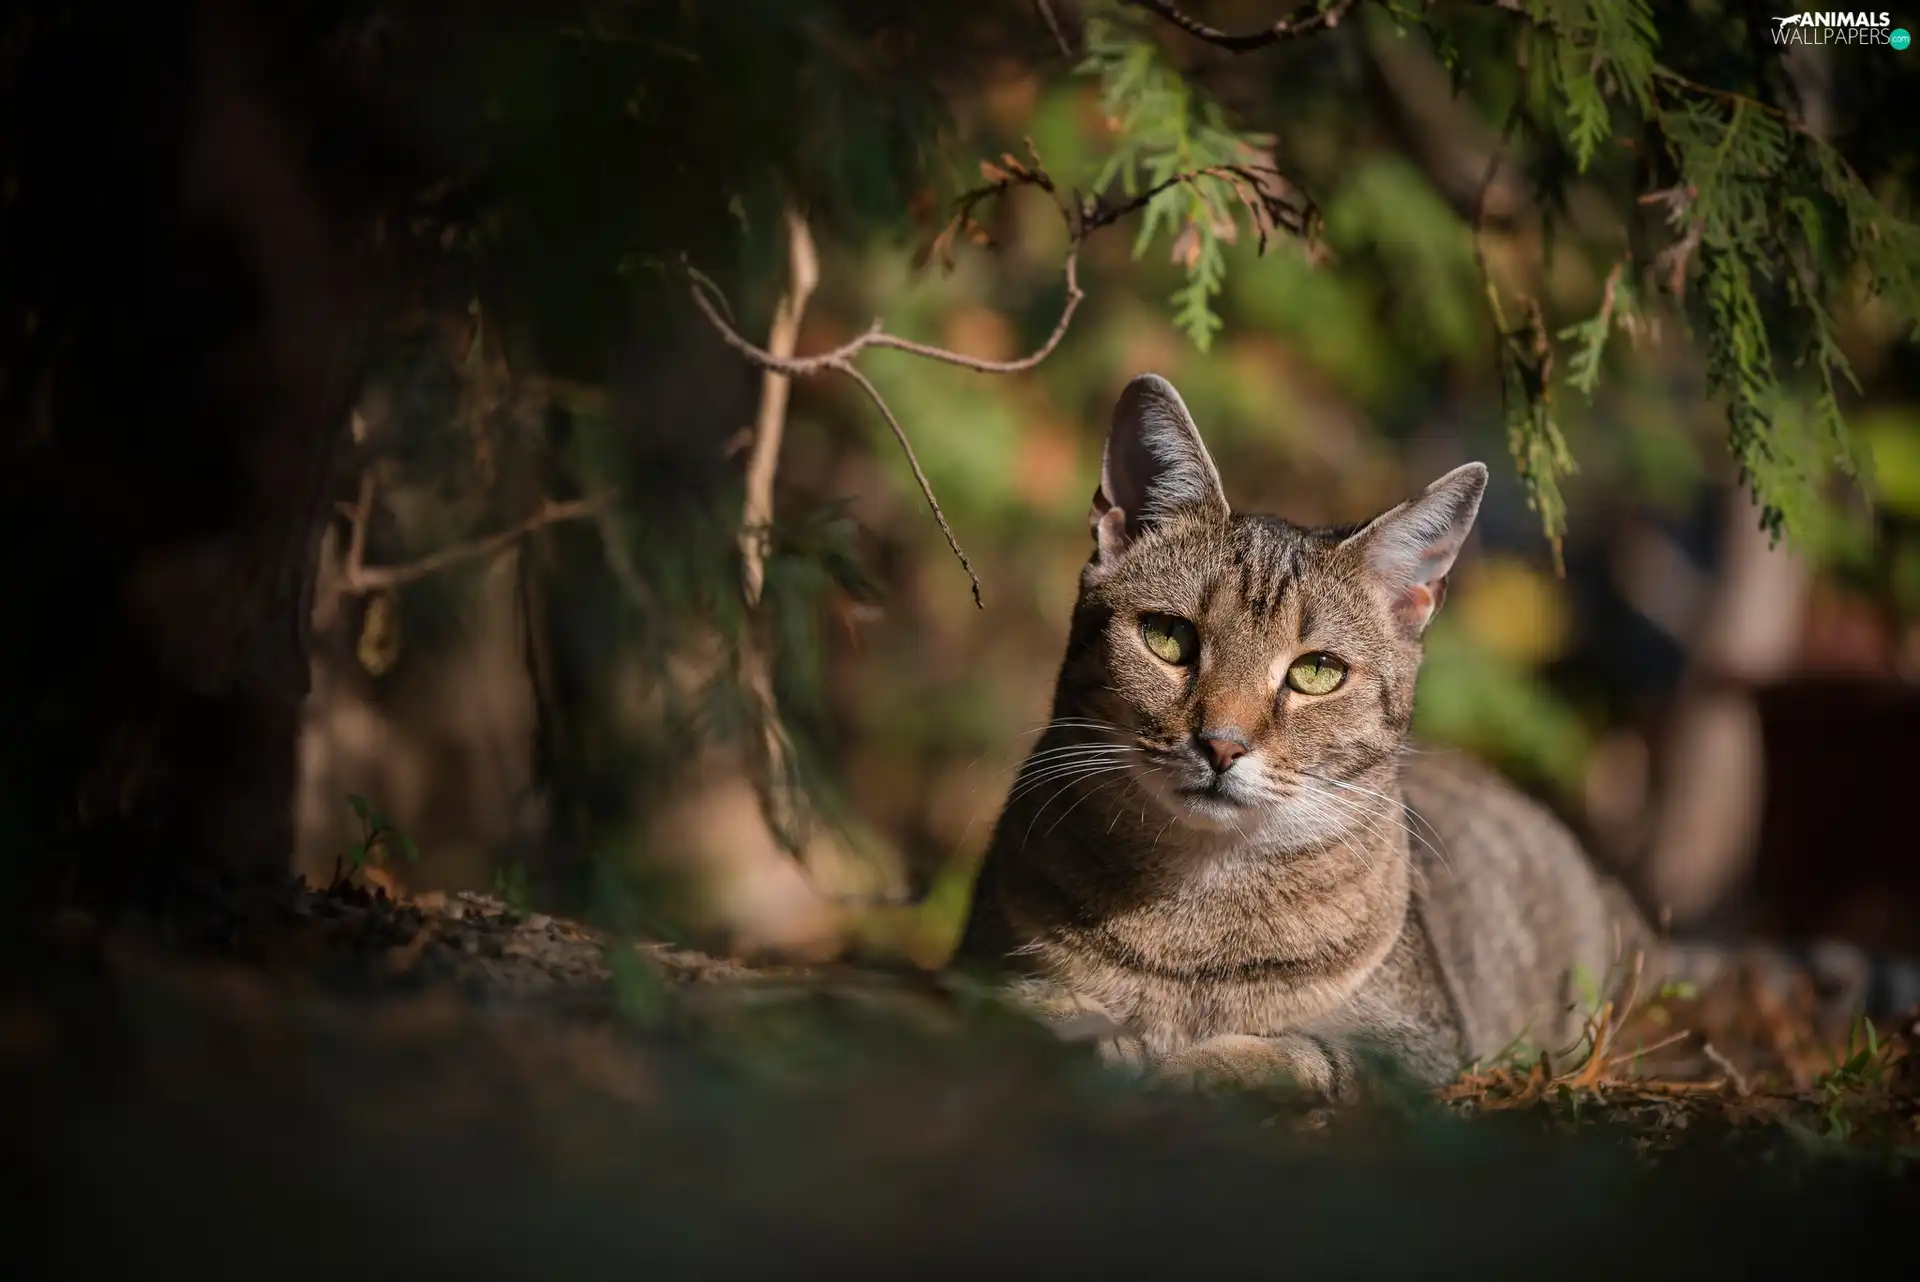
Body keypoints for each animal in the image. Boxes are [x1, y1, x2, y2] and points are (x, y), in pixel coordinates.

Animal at [960, 376, 1920, 1097]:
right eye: (1169, 639)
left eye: (1315, 673)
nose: (1222, 744)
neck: (1193, 916)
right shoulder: (982, 975)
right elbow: (1036, 1013)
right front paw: (1107, 1039)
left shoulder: (1416, 1044)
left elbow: (1302, 1053)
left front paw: (1200, 1063)